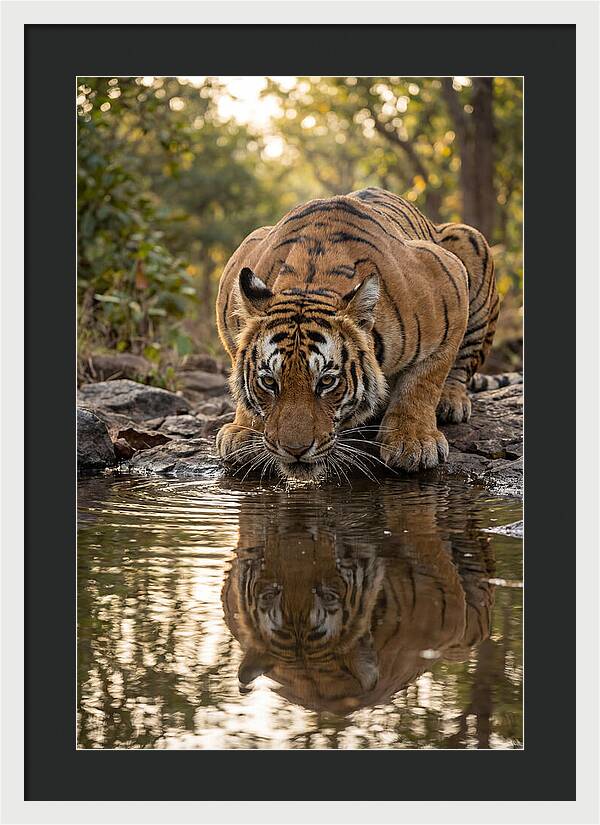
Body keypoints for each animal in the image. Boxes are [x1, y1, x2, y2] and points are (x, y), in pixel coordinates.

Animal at [215, 187, 505, 480]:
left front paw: (413, 441)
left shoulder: (449, 280)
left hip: (470, 239)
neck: (310, 282)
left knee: (463, 363)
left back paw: (451, 401)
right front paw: (243, 431)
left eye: (326, 382)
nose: (294, 450)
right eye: (269, 382)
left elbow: (423, 380)